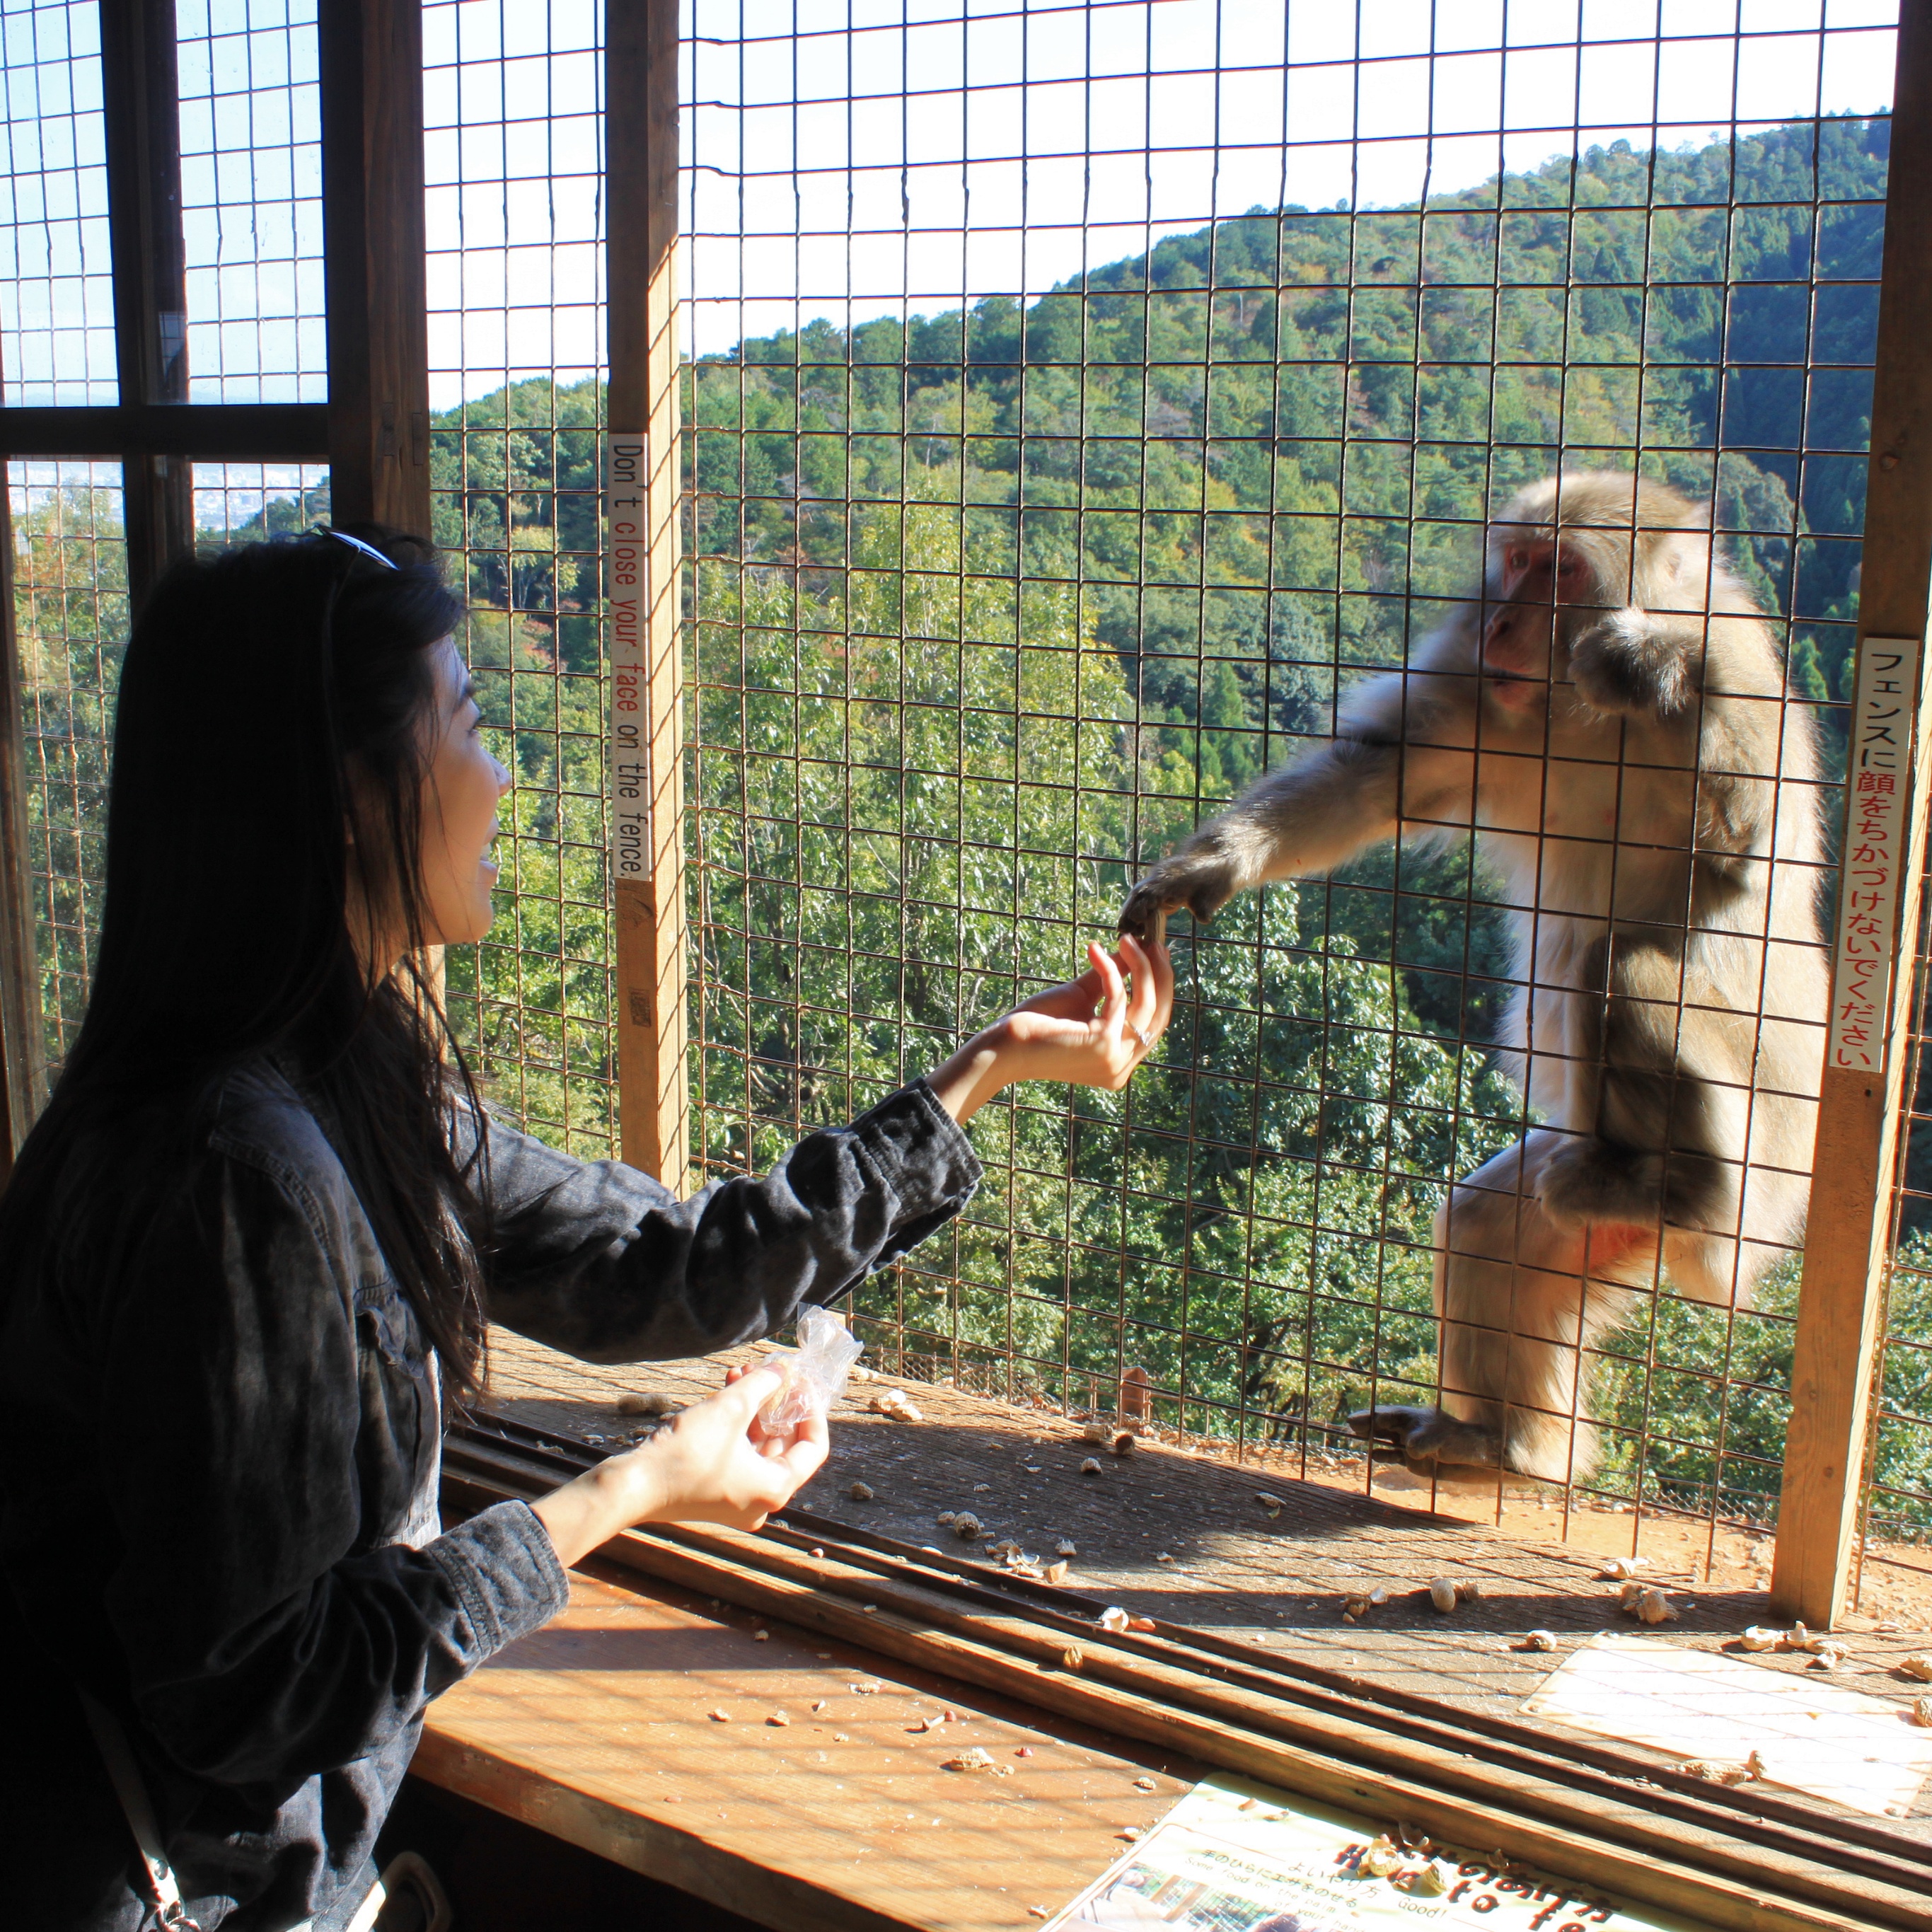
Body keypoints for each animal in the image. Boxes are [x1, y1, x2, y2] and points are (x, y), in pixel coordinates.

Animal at [1120, 475, 1824, 1483]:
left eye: (1559, 569)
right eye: (1518, 560)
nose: (1501, 622)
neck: (1582, 719)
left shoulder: (1746, 676)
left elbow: (1753, 846)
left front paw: (1653, 660)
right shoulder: (1479, 694)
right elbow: (1378, 774)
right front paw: (1209, 868)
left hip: (1762, 1145)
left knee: (1621, 963)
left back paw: (1687, 1188)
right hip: (1579, 1184)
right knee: (1493, 1230)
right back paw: (1500, 1442)